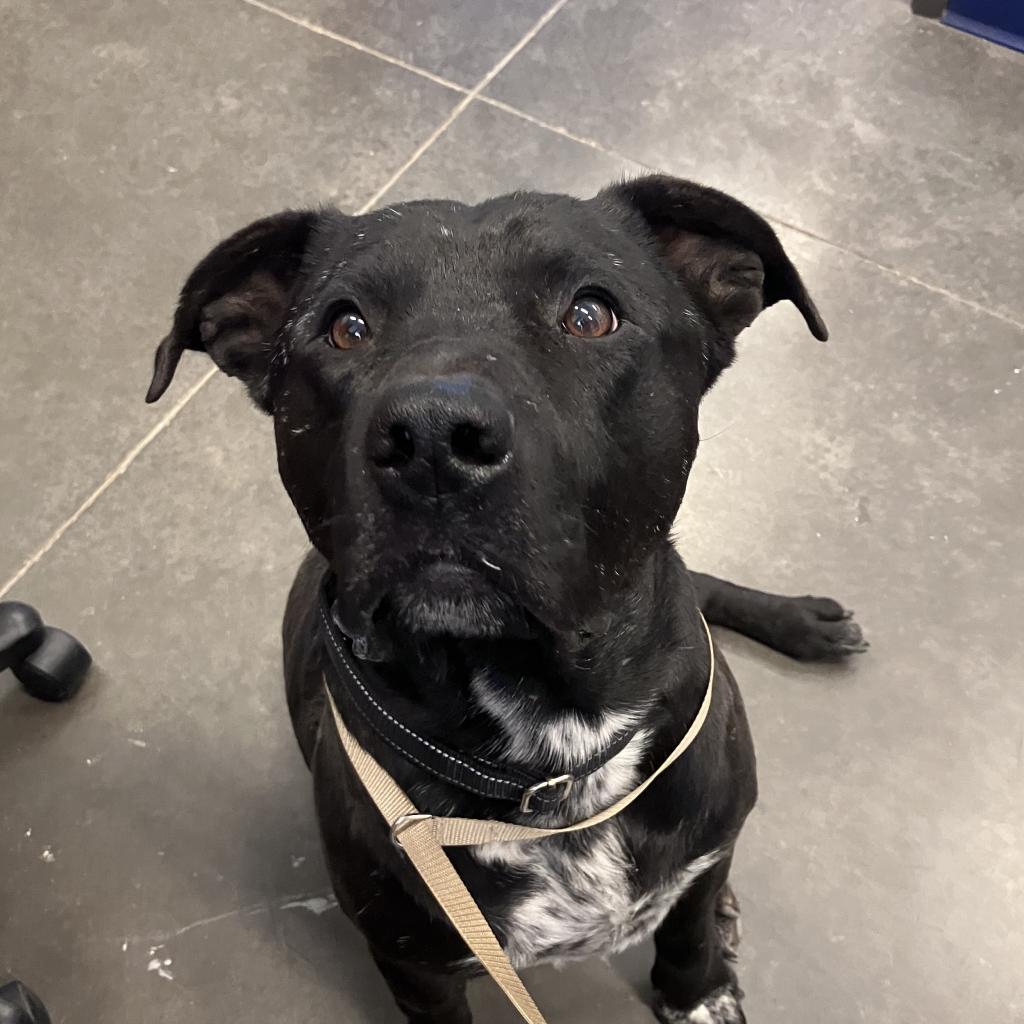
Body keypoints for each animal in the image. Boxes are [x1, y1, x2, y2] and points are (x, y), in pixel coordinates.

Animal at [144, 178, 864, 1024]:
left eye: (590, 314)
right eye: (345, 327)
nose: (431, 439)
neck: (556, 751)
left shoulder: (711, 842)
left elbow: (688, 927)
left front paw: (699, 988)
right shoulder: (415, 966)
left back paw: (804, 622)